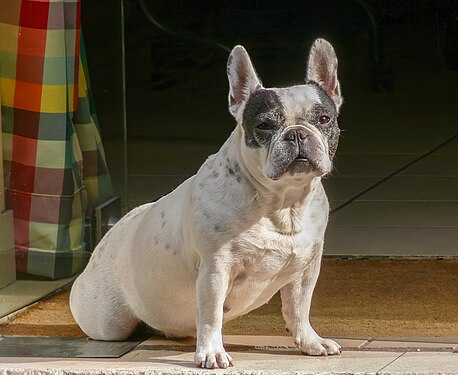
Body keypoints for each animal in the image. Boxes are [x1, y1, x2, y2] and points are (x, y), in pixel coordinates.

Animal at [70, 39, 344, 370]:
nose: (298, 133)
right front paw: (212, 352)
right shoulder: (216, 270)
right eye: (264, 125)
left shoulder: (305, 269)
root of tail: (111, 231)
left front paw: (310, 341)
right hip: (106, 322)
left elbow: (299, 307)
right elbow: (211, 315)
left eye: (324, 119)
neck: (282, 205)